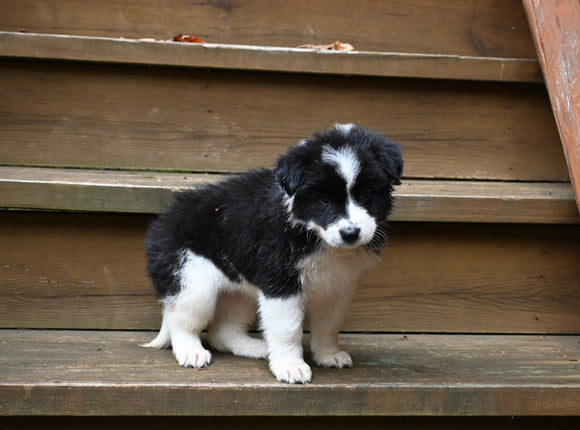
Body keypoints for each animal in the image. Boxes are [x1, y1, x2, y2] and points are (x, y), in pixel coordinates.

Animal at [144, 123, 404, 382]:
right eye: (323, 199)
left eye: (366, 194)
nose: (350, 233)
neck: (312, 233)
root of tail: (162, 223)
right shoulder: (279, 281)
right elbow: (288, 329)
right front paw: (290, 366)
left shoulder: (336, 286)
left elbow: (329, 324)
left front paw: (328, 355)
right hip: (191, 281)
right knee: (182, 322)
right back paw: (191, 352)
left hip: (240, 291)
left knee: (222, 332)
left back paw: (256, 348)